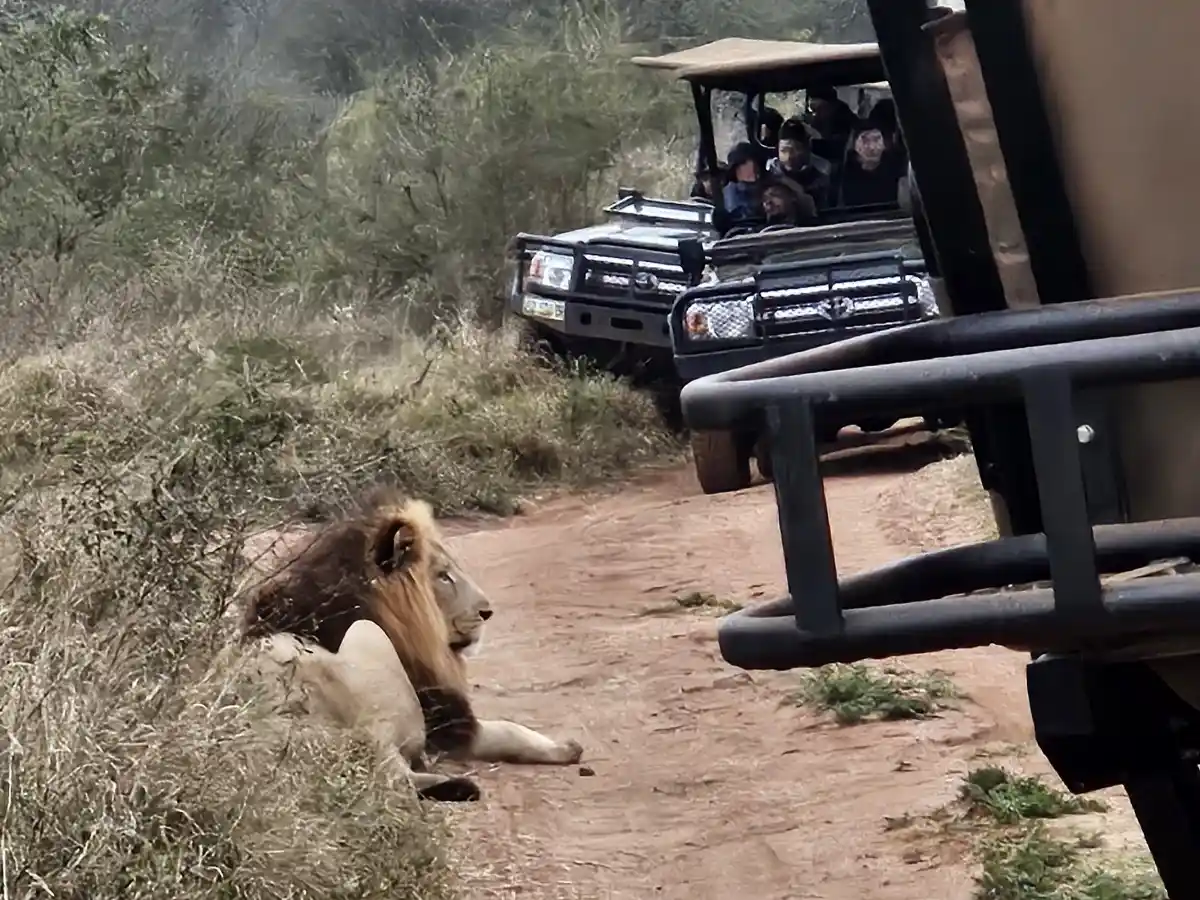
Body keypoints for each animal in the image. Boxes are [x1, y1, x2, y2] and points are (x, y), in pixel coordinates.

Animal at [241, 490, 583, 802]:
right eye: (444, 576)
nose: (487, 612)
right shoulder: (448, 723)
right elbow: (508, 728)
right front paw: (564, 747)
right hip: (369, 646)